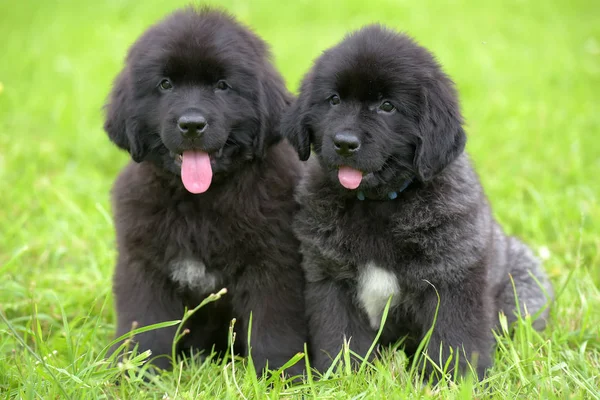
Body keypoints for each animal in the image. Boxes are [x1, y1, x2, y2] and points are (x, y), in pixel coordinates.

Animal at [102, 6, 304, 376]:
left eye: (222, 86)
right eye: (165, 84)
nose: (192, 124)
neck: (199, 201)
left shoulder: (273, 264)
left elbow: (273, 327)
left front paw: (281, 376)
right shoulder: (144, 263)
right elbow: (146, 325)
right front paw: (138, 373)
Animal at [282, 25, 552, 382]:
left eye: (387, 106)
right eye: (334, 100)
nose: (344, 143)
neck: (378, 204)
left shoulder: (451, 277)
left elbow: (453, 339)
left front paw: (451, 381)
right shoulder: (330, 276)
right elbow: (341, 336)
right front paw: (343, 378)